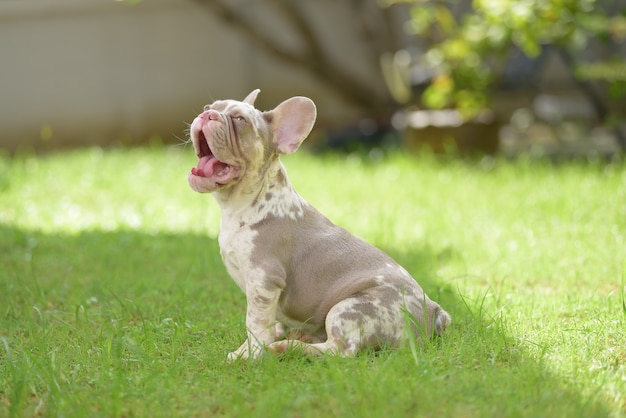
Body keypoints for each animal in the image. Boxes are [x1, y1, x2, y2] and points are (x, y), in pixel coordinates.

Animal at [186, 90, 448, 360]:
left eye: (240, 120)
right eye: (208, 107)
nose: (208, 114)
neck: (242, 205)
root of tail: (434, 312)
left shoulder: (263, 279)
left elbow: (255, 323)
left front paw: (247, 354)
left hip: (348, 308)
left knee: (339, 350)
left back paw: (287, 347)